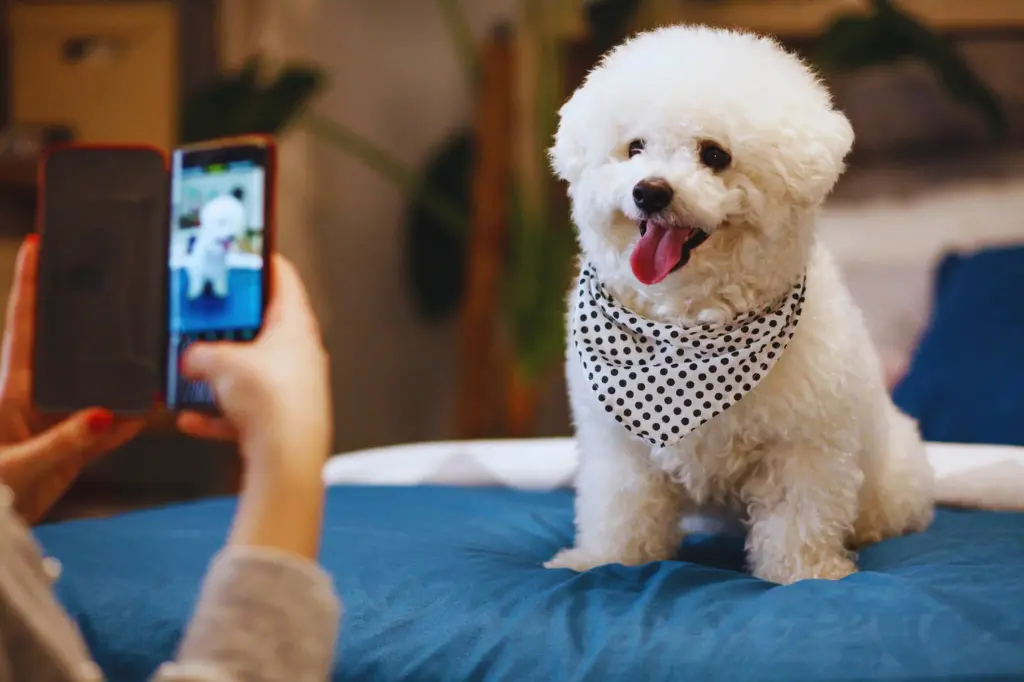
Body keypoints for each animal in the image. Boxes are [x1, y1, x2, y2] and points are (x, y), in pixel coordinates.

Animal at [544, 23, 937, 581]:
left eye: (714, 155)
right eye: (634, 147)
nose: (649, 192)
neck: (688, 327)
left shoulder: (805, 445)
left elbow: (799, 517)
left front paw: (805, 573)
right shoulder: (619, 447)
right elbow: (620, 508)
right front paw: (602, 559)